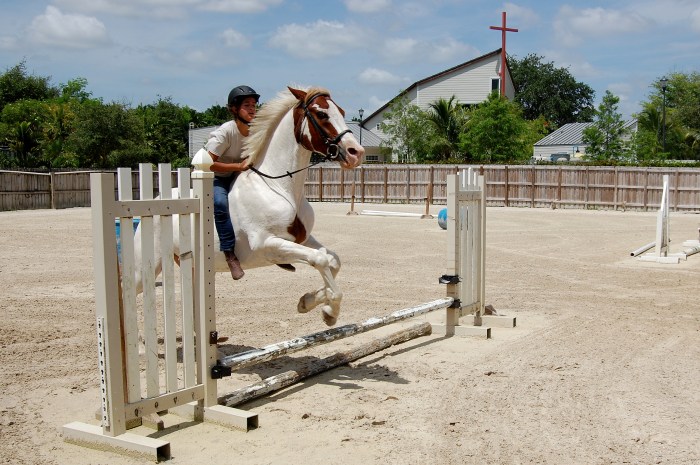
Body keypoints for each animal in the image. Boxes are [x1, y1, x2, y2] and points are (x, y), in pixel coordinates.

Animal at [134, 86, 364, 326]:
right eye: (321, 114)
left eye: (341, 111)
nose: (356, 153)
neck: (278, 186)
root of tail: (155, 202)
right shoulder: (267, 245)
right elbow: (320, 259)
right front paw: (329, 311)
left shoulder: (302, 240)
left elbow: (332, 260)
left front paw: (310, 303)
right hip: (145, 268)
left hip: (192, 266)